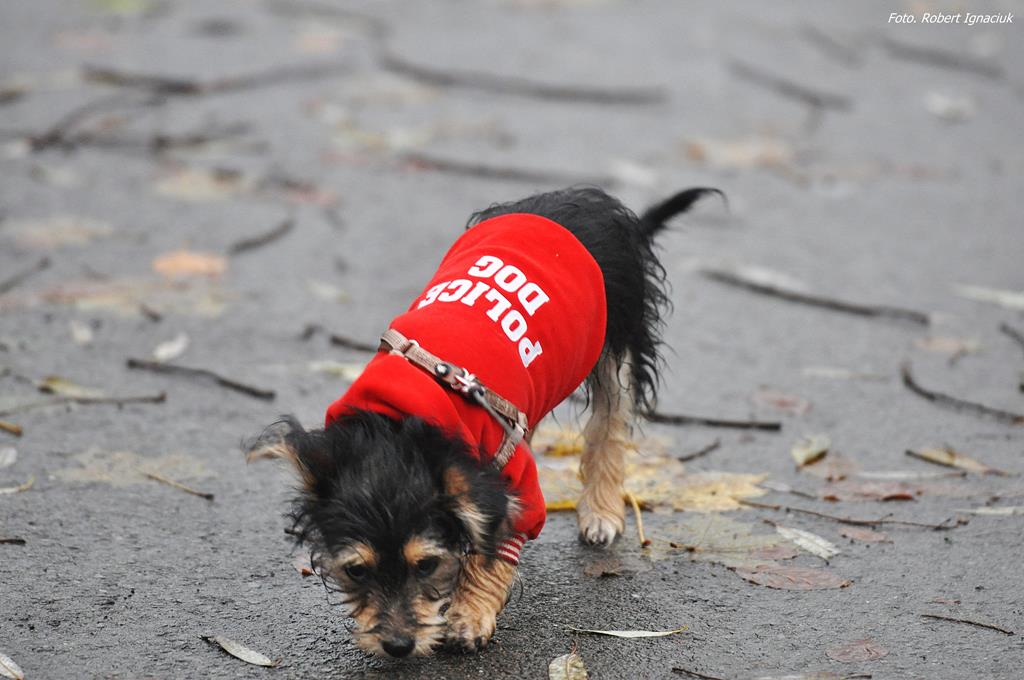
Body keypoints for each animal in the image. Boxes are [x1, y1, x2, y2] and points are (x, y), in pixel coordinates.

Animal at [247, 186, 718, 657]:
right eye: (356, 571)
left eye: (427, 564)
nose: (398, 646)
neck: (396, 428)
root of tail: (590, 198)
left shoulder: (511, 483)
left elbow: (494, 545)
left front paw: (469, 615)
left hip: (617, 341)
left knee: (609, 425)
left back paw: (600, 512)